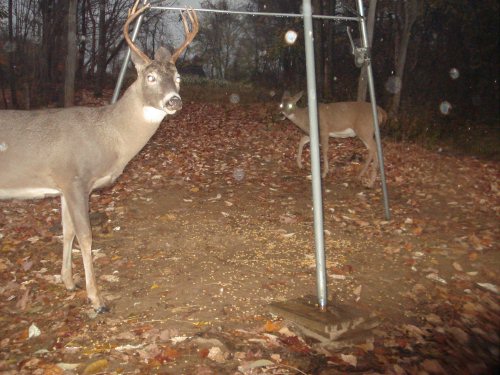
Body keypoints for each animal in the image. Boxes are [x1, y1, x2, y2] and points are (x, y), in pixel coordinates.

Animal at [0, 2, 199, 314]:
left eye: (178, 77)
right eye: (150, 77)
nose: (174, 101)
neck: (108, 135)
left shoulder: (63, 186)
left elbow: (67, 230)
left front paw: (69, 282)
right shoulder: (75, 179)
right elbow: (86, 236)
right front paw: (96, 299)